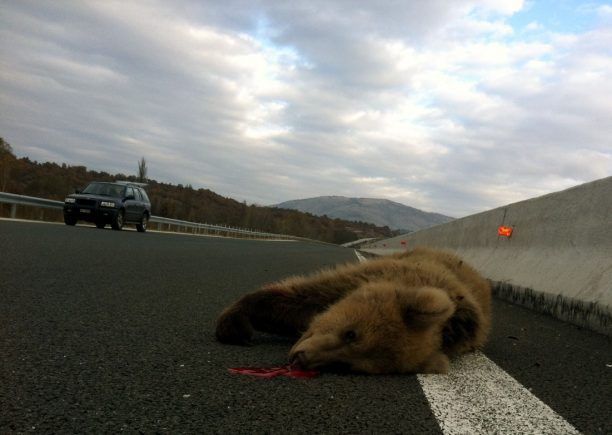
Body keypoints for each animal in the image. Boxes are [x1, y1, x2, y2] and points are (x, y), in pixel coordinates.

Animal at [215, 249, 492, 374]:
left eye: (347, 365)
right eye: (351, 333)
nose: (301, 359)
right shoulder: (359, 278)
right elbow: (298, 297)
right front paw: (235, 326)